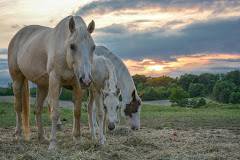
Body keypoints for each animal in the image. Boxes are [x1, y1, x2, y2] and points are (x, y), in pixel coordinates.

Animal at [7, 15, 95, 149]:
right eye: (72, 46)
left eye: (93, 47)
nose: (86, 79)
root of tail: (16, 36)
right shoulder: (55, 81)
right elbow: (55, 112)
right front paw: (53, 144)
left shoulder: (77, 85)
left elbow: (77, 112)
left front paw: (78, 139)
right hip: (17, 80)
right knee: (18, 108)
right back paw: (18, 136)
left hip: (42, 86)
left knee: (37, 109)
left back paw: (42, 138)